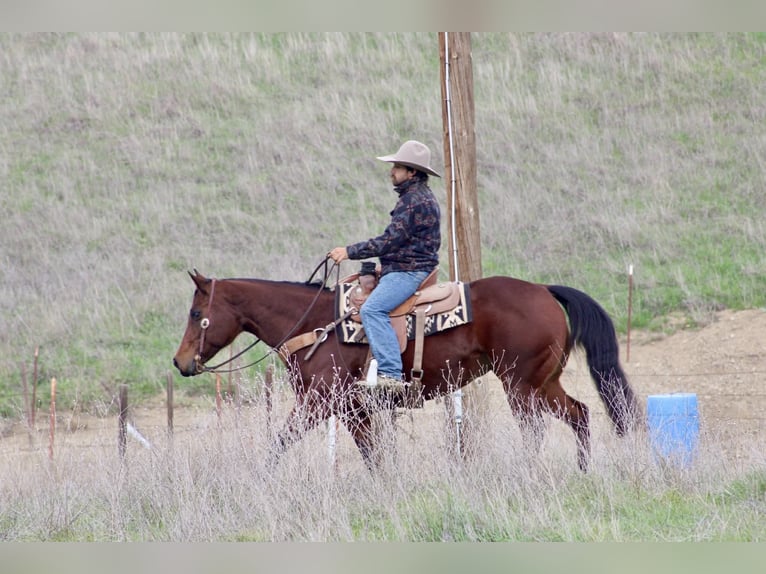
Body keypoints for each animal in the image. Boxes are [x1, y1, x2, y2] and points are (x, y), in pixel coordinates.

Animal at [173, 266, 640, 472]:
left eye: (197, 313)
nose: (180, 362)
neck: (314, 326)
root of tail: (543, 290)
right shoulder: (353, 410)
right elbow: (374, 455)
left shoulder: (318, 403)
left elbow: (279, 443)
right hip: (544, 381)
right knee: (579, 414)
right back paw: (583, 471)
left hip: (521, 384)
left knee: (536, 428)